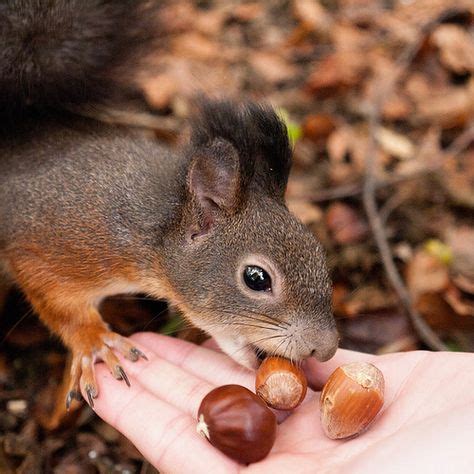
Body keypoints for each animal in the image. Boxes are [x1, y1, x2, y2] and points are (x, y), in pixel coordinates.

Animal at [0, 0, 340, 410]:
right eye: (256, 278)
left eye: (319, 254)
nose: (326, 348)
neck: (154, 230)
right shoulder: (50, 244)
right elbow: (55, 300)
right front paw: (96, 342)